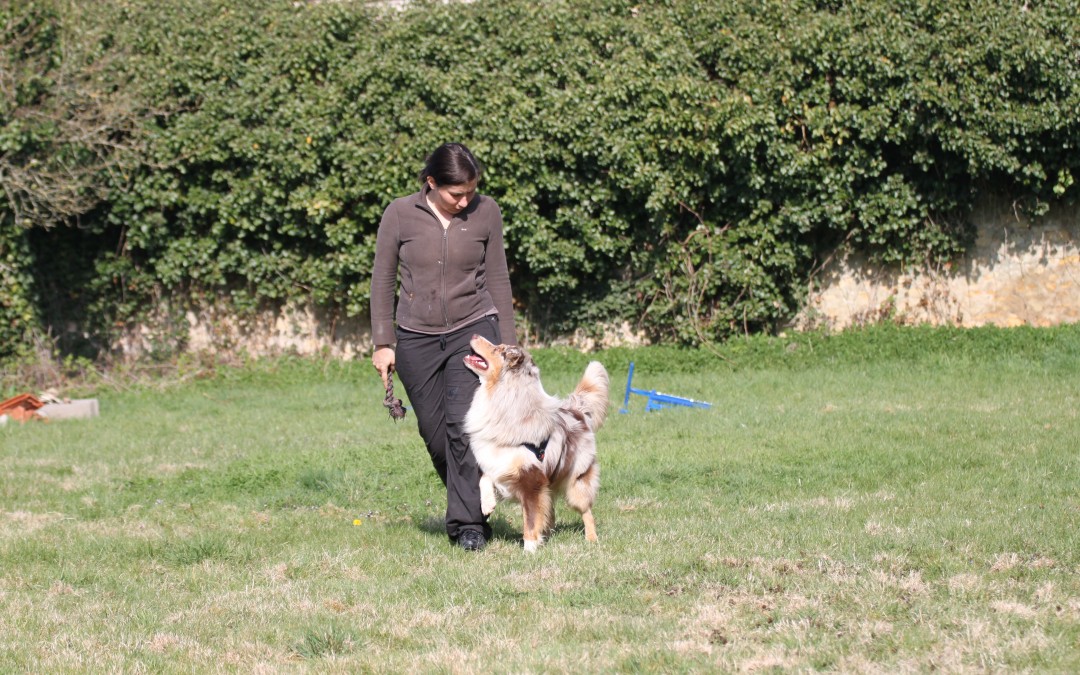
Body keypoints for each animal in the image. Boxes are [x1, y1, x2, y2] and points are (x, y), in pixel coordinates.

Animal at [460, 334, 604, 550]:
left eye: (497, 349)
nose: (474, 334)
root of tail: (576, 410)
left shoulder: (531, 481)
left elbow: (530, 519)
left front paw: (529, 549)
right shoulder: (494, 458)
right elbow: (485, 477)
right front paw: (487, 503)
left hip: (576, 483)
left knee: (586, 510)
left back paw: (591, 538)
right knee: (550, 510)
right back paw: (547, 534)